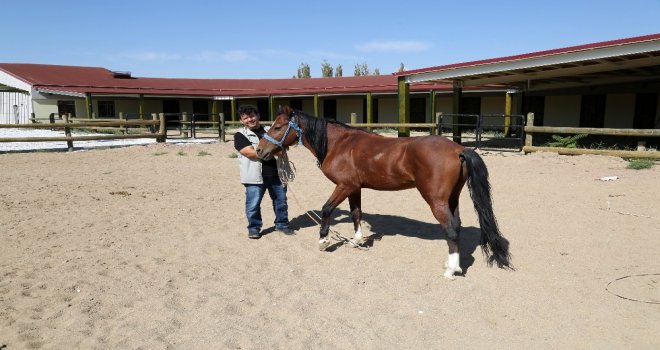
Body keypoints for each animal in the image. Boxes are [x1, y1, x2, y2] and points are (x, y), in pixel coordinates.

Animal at [255, 104, 512, 278]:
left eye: (277, 126)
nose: (259, 150)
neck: (340, 144)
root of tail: (458, 149)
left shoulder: (343, 186)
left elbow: (326, 209)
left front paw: (324, 241)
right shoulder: (354, 188)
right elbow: (356, 213)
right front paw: (357, 241)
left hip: (436, 200)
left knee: (450, 229)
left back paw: (451, 270)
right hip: (452, 199)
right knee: (456, 226)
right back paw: (454, 265)